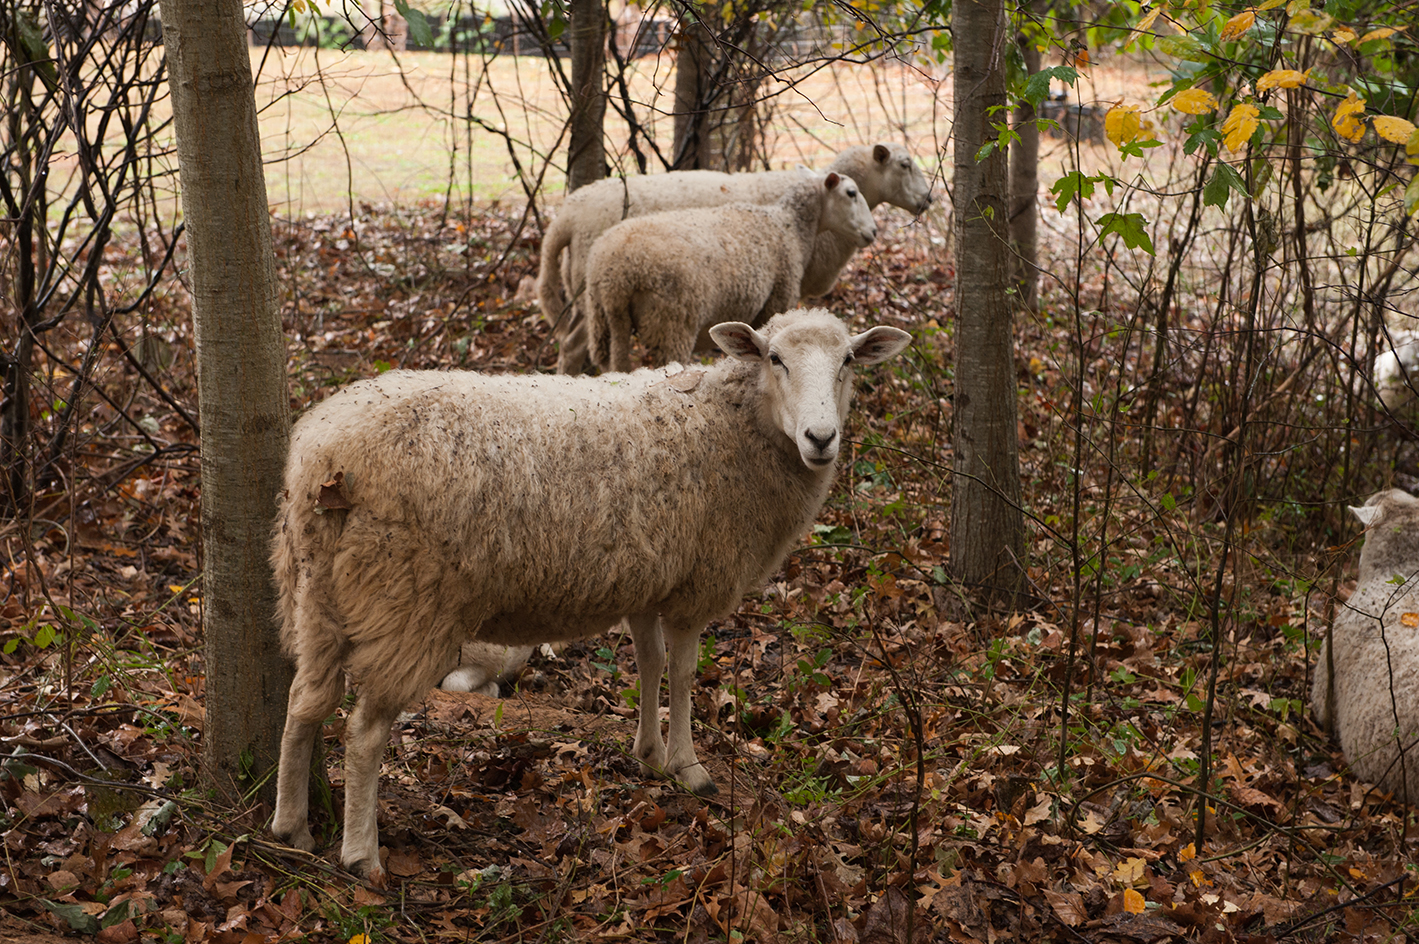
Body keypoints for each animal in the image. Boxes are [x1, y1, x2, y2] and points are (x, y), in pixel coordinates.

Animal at [266, 308, 908, 874]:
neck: (733, 423)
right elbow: (684, 671)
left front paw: (648, 755)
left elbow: (650, 664)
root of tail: (325, 456)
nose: (821, 437)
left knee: (305, 701)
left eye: (849, 361)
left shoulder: (650, 582)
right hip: (407, 598)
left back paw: (291, 827)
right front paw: (688, 766)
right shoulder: (694, 585)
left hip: (315, 591)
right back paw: (362, 855)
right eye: (775, 359)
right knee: (364, 732)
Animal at [578, 171, 868, 369]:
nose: (872, 231)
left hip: (603, 319)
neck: (790, 227)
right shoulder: (776, 301)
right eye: (851, 193)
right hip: (671, 323)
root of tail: (617, 275)